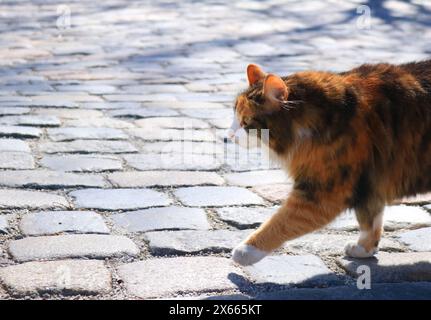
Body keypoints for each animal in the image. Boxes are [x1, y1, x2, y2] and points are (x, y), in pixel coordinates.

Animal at [231, 60, 431, 264]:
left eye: (245, 123)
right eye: (235, 116)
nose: (229, 136)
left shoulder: (323, 192)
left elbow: (280, 221)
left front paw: (246, 250)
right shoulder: (369, 186)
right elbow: (370, 220)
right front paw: (364, 248)